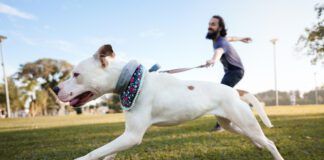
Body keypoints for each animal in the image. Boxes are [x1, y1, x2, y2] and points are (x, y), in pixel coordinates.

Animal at [55, 44, 284, 159]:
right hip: (231, 124)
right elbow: (107, 152)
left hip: (245, 122)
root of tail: (235, 91)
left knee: (270, 142)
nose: (55, 89)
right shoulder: (126, 136)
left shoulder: (132, 136)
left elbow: (94, 152)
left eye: (76, 74)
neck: (132, 81)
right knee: (252, 136)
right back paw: (257, 145)